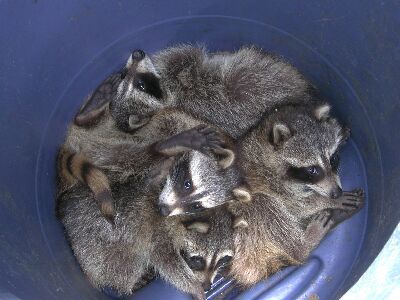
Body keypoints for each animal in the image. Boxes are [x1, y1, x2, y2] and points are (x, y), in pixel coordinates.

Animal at [57, 177, 236, 298]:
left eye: (222, 260)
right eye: (197, 260)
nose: (207, 287)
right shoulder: (158, 234)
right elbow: (167, 263)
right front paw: (193, 286)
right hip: (97, 248)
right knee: (127, 265)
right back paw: (128, 286)